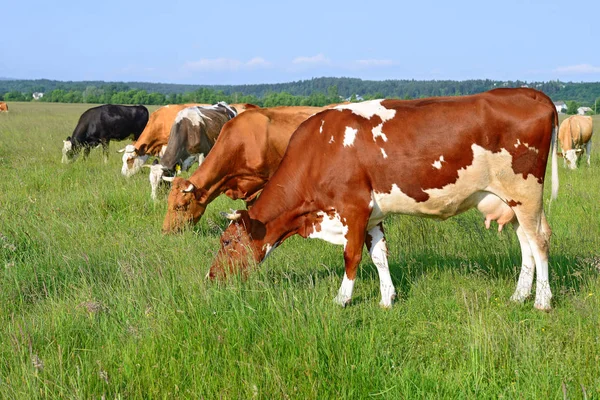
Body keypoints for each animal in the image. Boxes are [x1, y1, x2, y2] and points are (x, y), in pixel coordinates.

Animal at [210, 89, 556, 310]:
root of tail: (529, 93)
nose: (210, 277)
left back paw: (542, 301)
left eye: (226, 242)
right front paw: (387, 298)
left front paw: (342, 299)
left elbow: (351, 257)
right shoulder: (373, 215)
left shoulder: (353, 208)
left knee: (539, 240)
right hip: (510, 201)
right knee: (525, 243)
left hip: (526, 193)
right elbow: (379, 256)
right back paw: (519, 296)